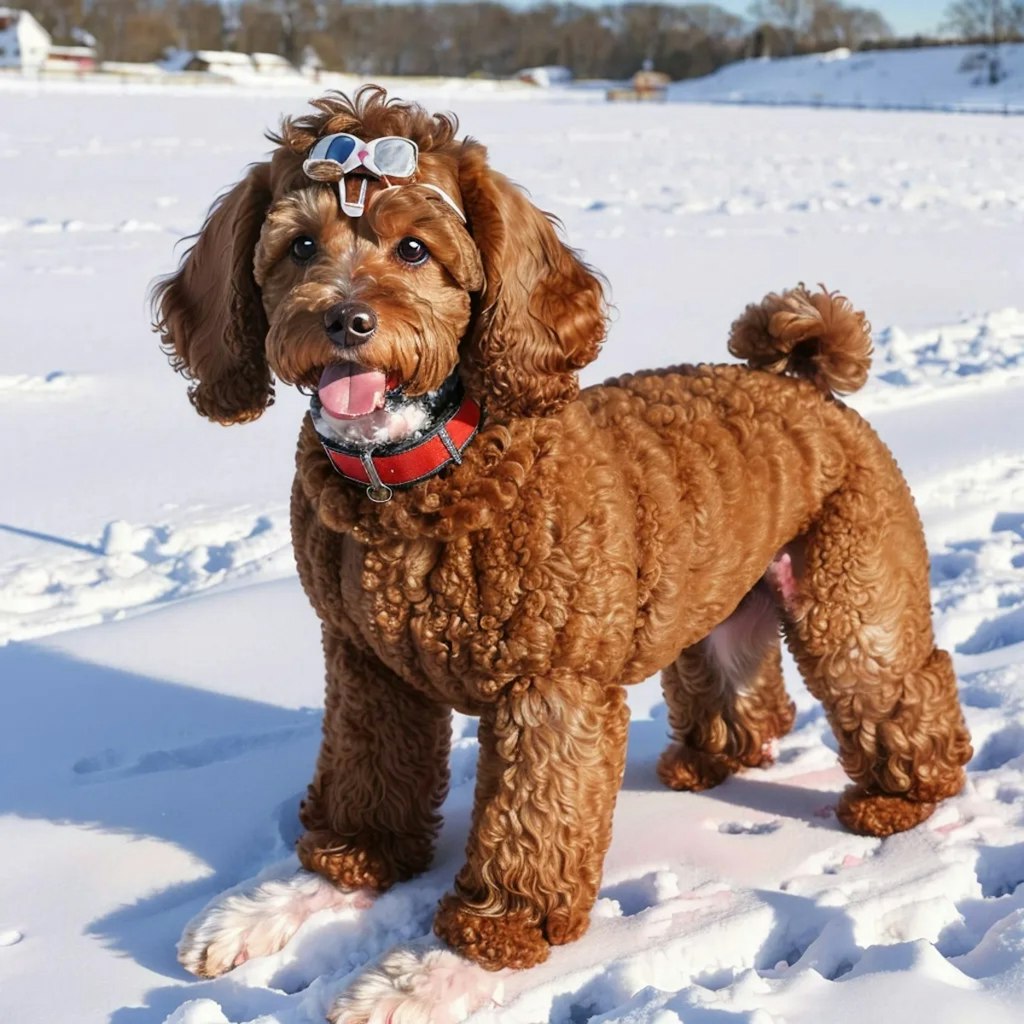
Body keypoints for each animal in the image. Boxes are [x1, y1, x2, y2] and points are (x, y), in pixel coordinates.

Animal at [155, 88, 970, 974]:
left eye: (415, 249)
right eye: (300, 246)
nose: (345, 320)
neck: (421, 479)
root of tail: (804, 379)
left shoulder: (552, 688)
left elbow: (530, 834)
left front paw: (442, 966)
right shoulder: (370, 668)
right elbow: (368, 786)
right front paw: (284, 899)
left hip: (852, 596)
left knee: (901, 683)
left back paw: (900, 799)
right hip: (720, 604)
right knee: (748, 689)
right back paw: (709, 757)